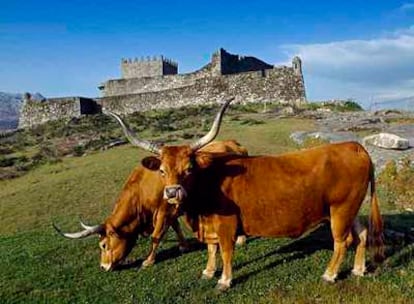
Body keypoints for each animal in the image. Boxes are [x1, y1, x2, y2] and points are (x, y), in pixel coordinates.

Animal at [51, 139, 246, 270]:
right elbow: (175, 227)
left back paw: (241, 239)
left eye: (104, 245)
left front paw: (148, 260)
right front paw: (184, 246)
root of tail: (233, 143)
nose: (103, 266)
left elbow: (156, 235)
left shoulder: (163, 212)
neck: (141, 189)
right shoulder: (170, 211)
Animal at [107, 98, 384, 290]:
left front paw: (224, 280)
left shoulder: (226, 225)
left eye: (189, 168)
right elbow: (211, 249)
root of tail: (355, 147)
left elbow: (226, 251)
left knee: (342, 241)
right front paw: (208, 272)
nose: (173, 192)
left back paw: (329, 274)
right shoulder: (209, 225)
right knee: (361, 234)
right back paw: (358, 270)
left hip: (340, 210)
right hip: (350, 209)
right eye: (162, 170)